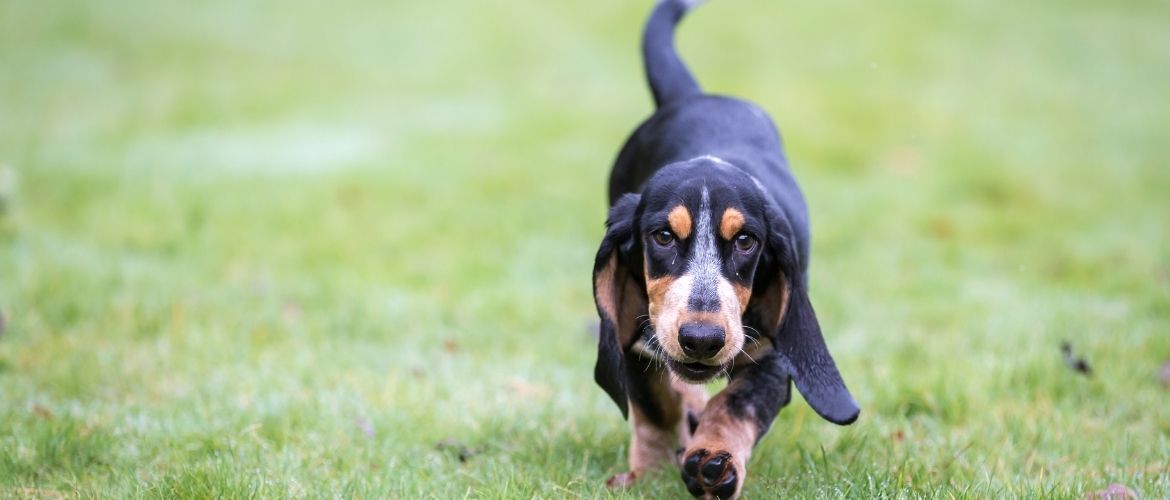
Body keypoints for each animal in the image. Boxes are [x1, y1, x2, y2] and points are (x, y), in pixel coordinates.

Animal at [594, 1, 861, 498]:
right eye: (662, 236)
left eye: (745, 241)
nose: (702, 339)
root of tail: (693, 95)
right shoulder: (633, 334)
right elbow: (654, 408)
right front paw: (650, 474)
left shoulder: (774, 358)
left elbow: (734, 405)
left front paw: (712, 458)